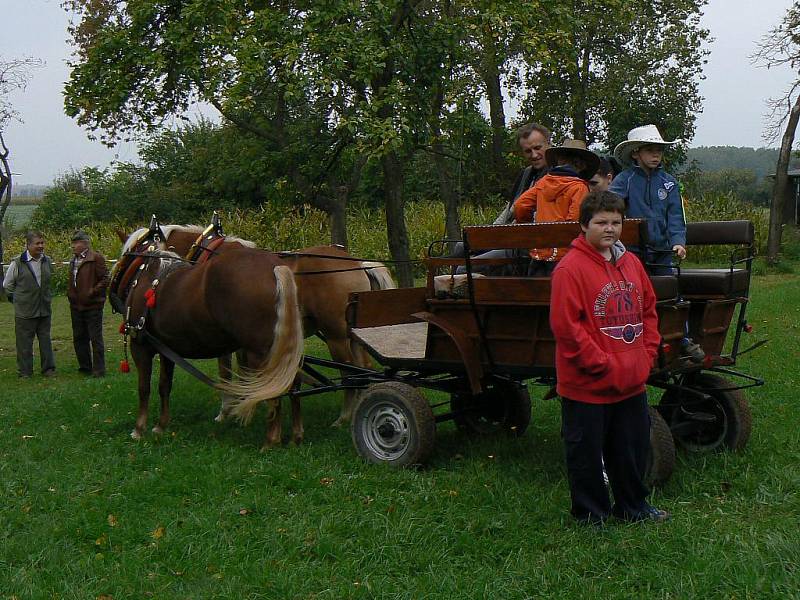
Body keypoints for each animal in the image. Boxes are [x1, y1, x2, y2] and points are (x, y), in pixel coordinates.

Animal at [109, 232, 304, 448]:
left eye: (125, 256)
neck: (146, 275)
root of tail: (273, 266)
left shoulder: (140, 346)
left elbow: (144, 388)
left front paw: (138, 429)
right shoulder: (167, 350)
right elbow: (164, 386)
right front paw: (161, 426)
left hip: (260, 352)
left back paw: (271, 440)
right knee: (293, 383)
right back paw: (296, 435)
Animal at [120, 223, 396, 424]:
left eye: (131, 255)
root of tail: (358, 263)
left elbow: (226, 372)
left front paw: (226, 411)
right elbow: (246, 371)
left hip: (335, 335)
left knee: (351, 372)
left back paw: (344, 417)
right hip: (352, 334)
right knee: (363, 368)